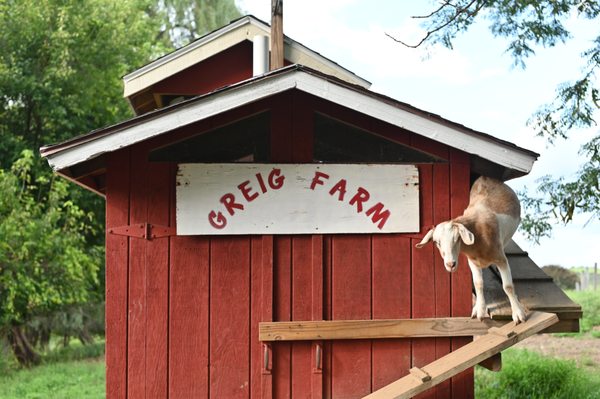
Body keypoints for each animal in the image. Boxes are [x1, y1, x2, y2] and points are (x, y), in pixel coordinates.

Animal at [414, 177, 528, 324]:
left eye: (457, 238)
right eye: (437, 242)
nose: (450, 264)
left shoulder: (500, 258)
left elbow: (507, 286)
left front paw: (518, 314)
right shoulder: (473, 262)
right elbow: (478, 284)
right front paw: (479, 310)